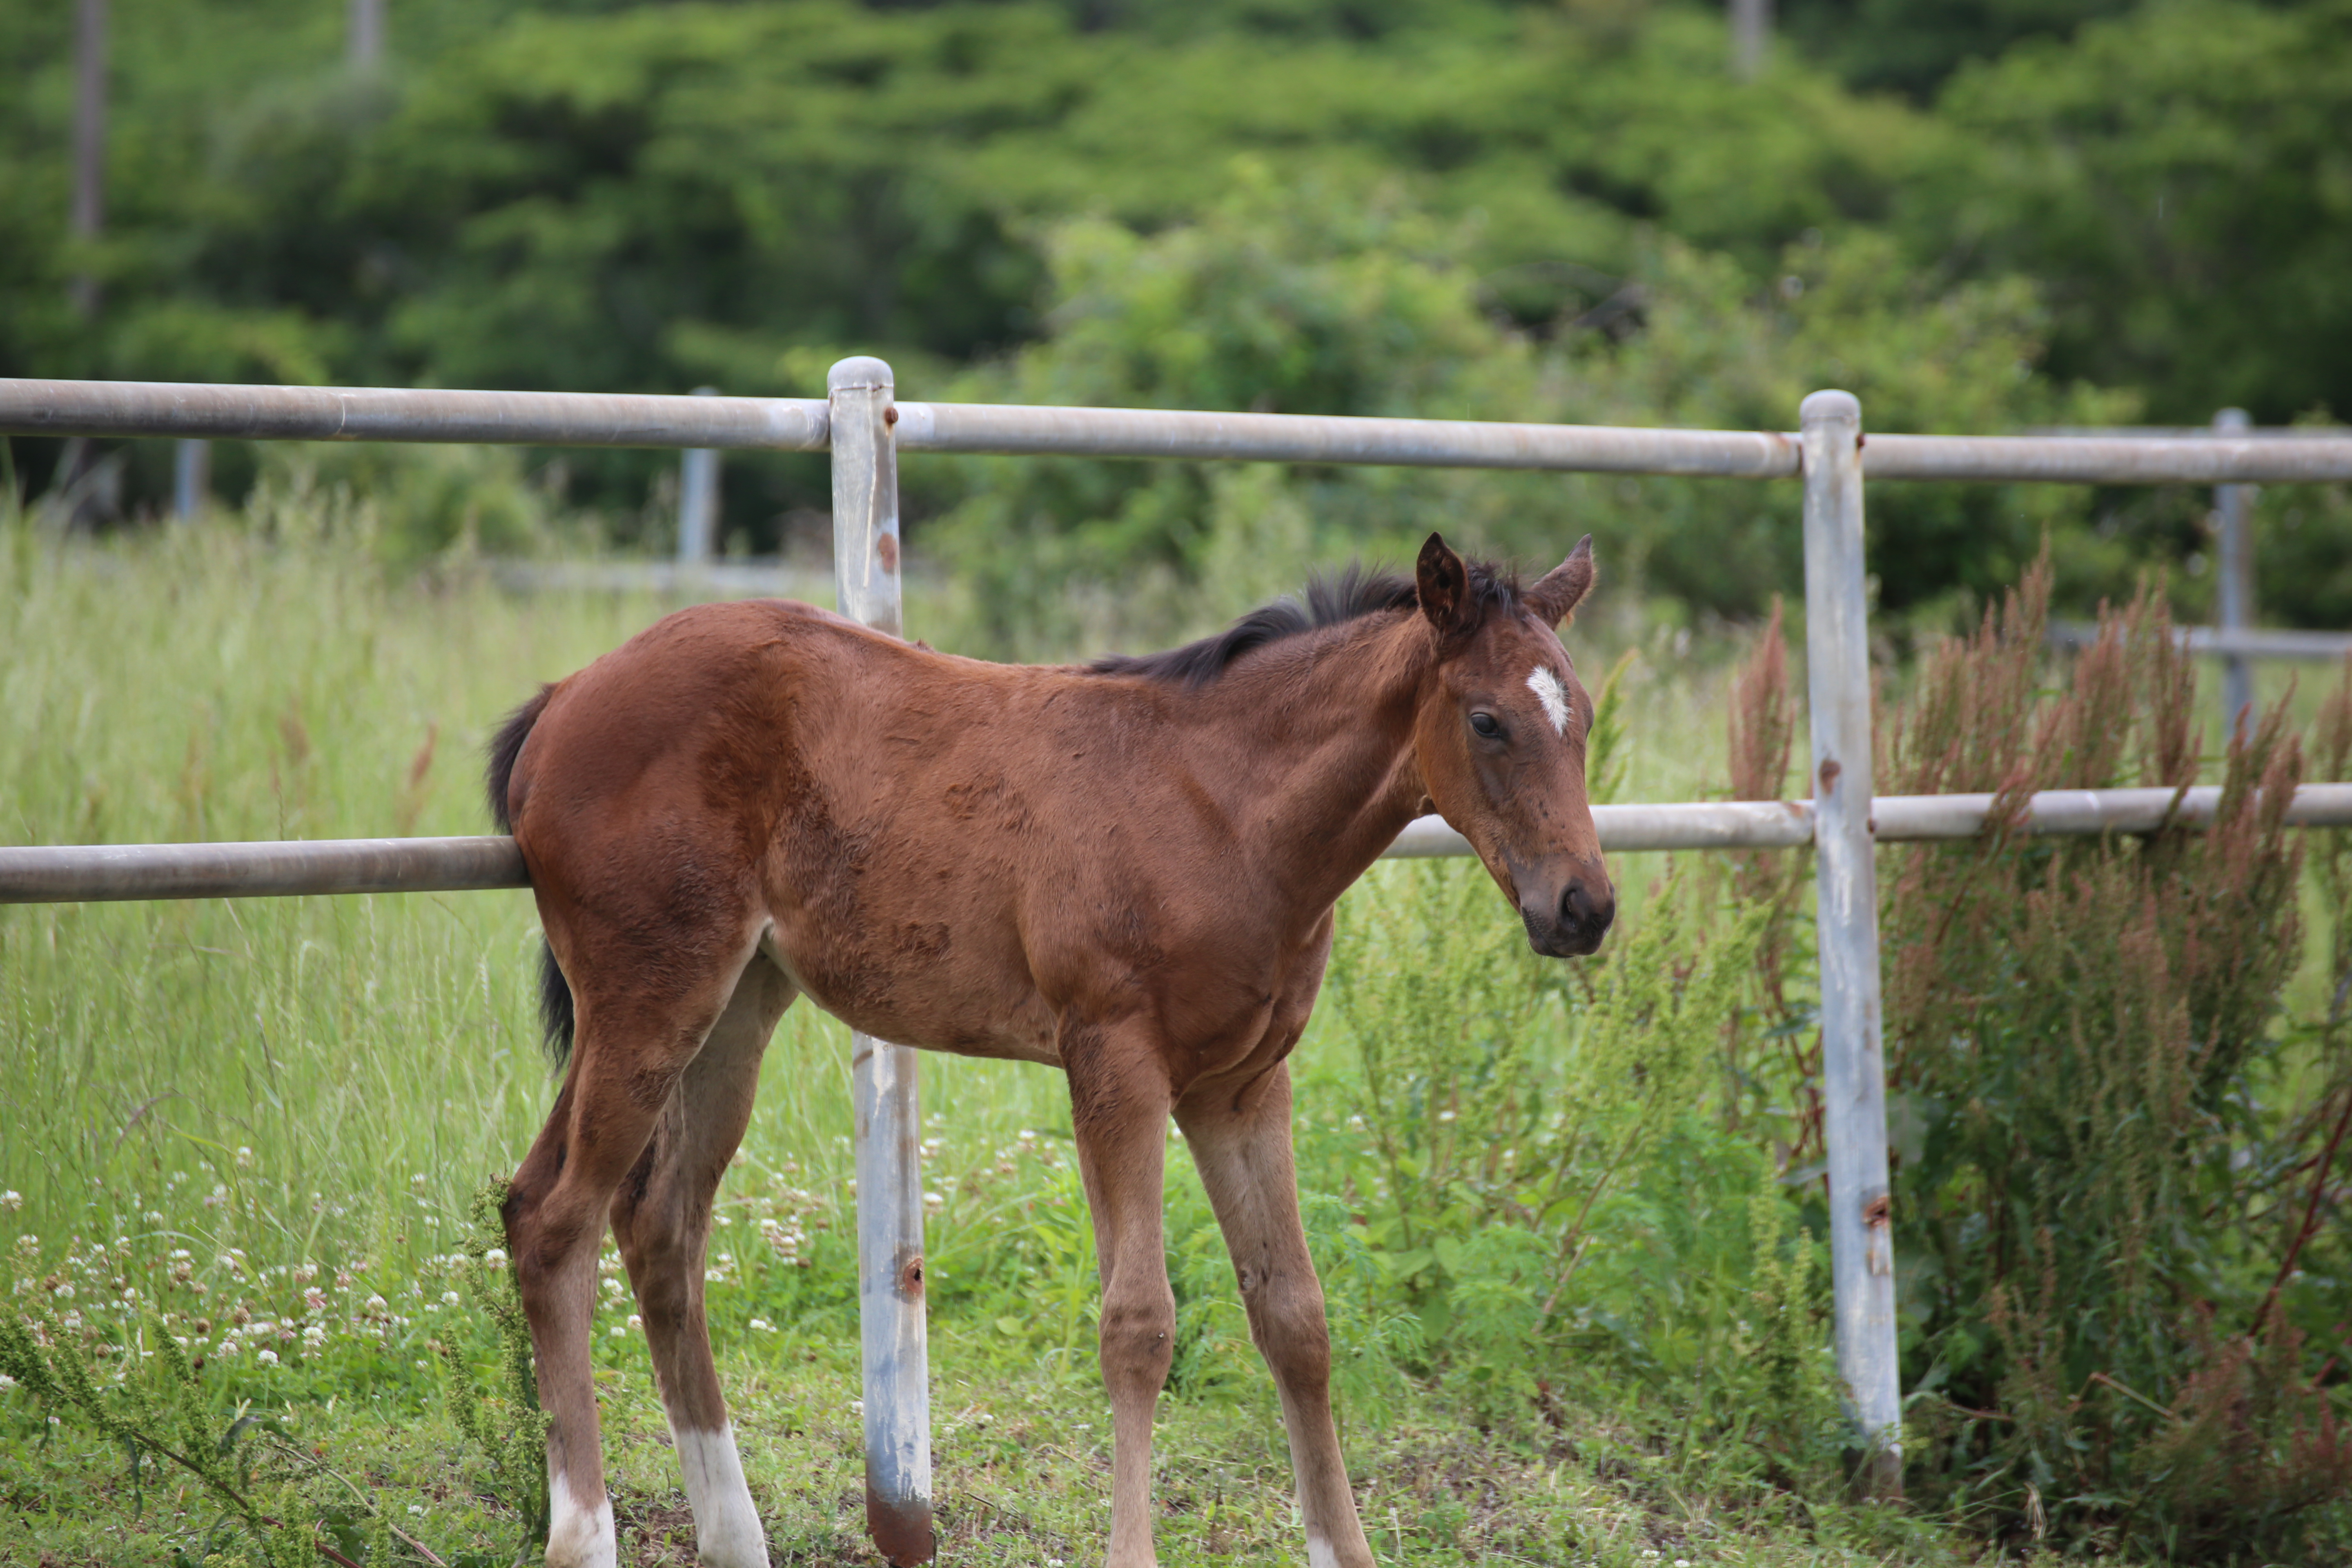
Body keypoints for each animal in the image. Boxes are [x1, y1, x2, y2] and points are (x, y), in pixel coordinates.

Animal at [487, 531, 1608, 1568]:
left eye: (1586, 719)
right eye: (1486, 719)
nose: (1583, 907)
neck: (1225, 812)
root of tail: (566, 694)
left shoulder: (1243, 1083)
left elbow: (1295, 1315)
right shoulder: (1115, 1062)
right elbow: (1139, 1324)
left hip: (738, 1003)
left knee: (660, 1224)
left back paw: (733, 1536)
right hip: (647, 996)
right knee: (551, 1216)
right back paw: (584, 1534)